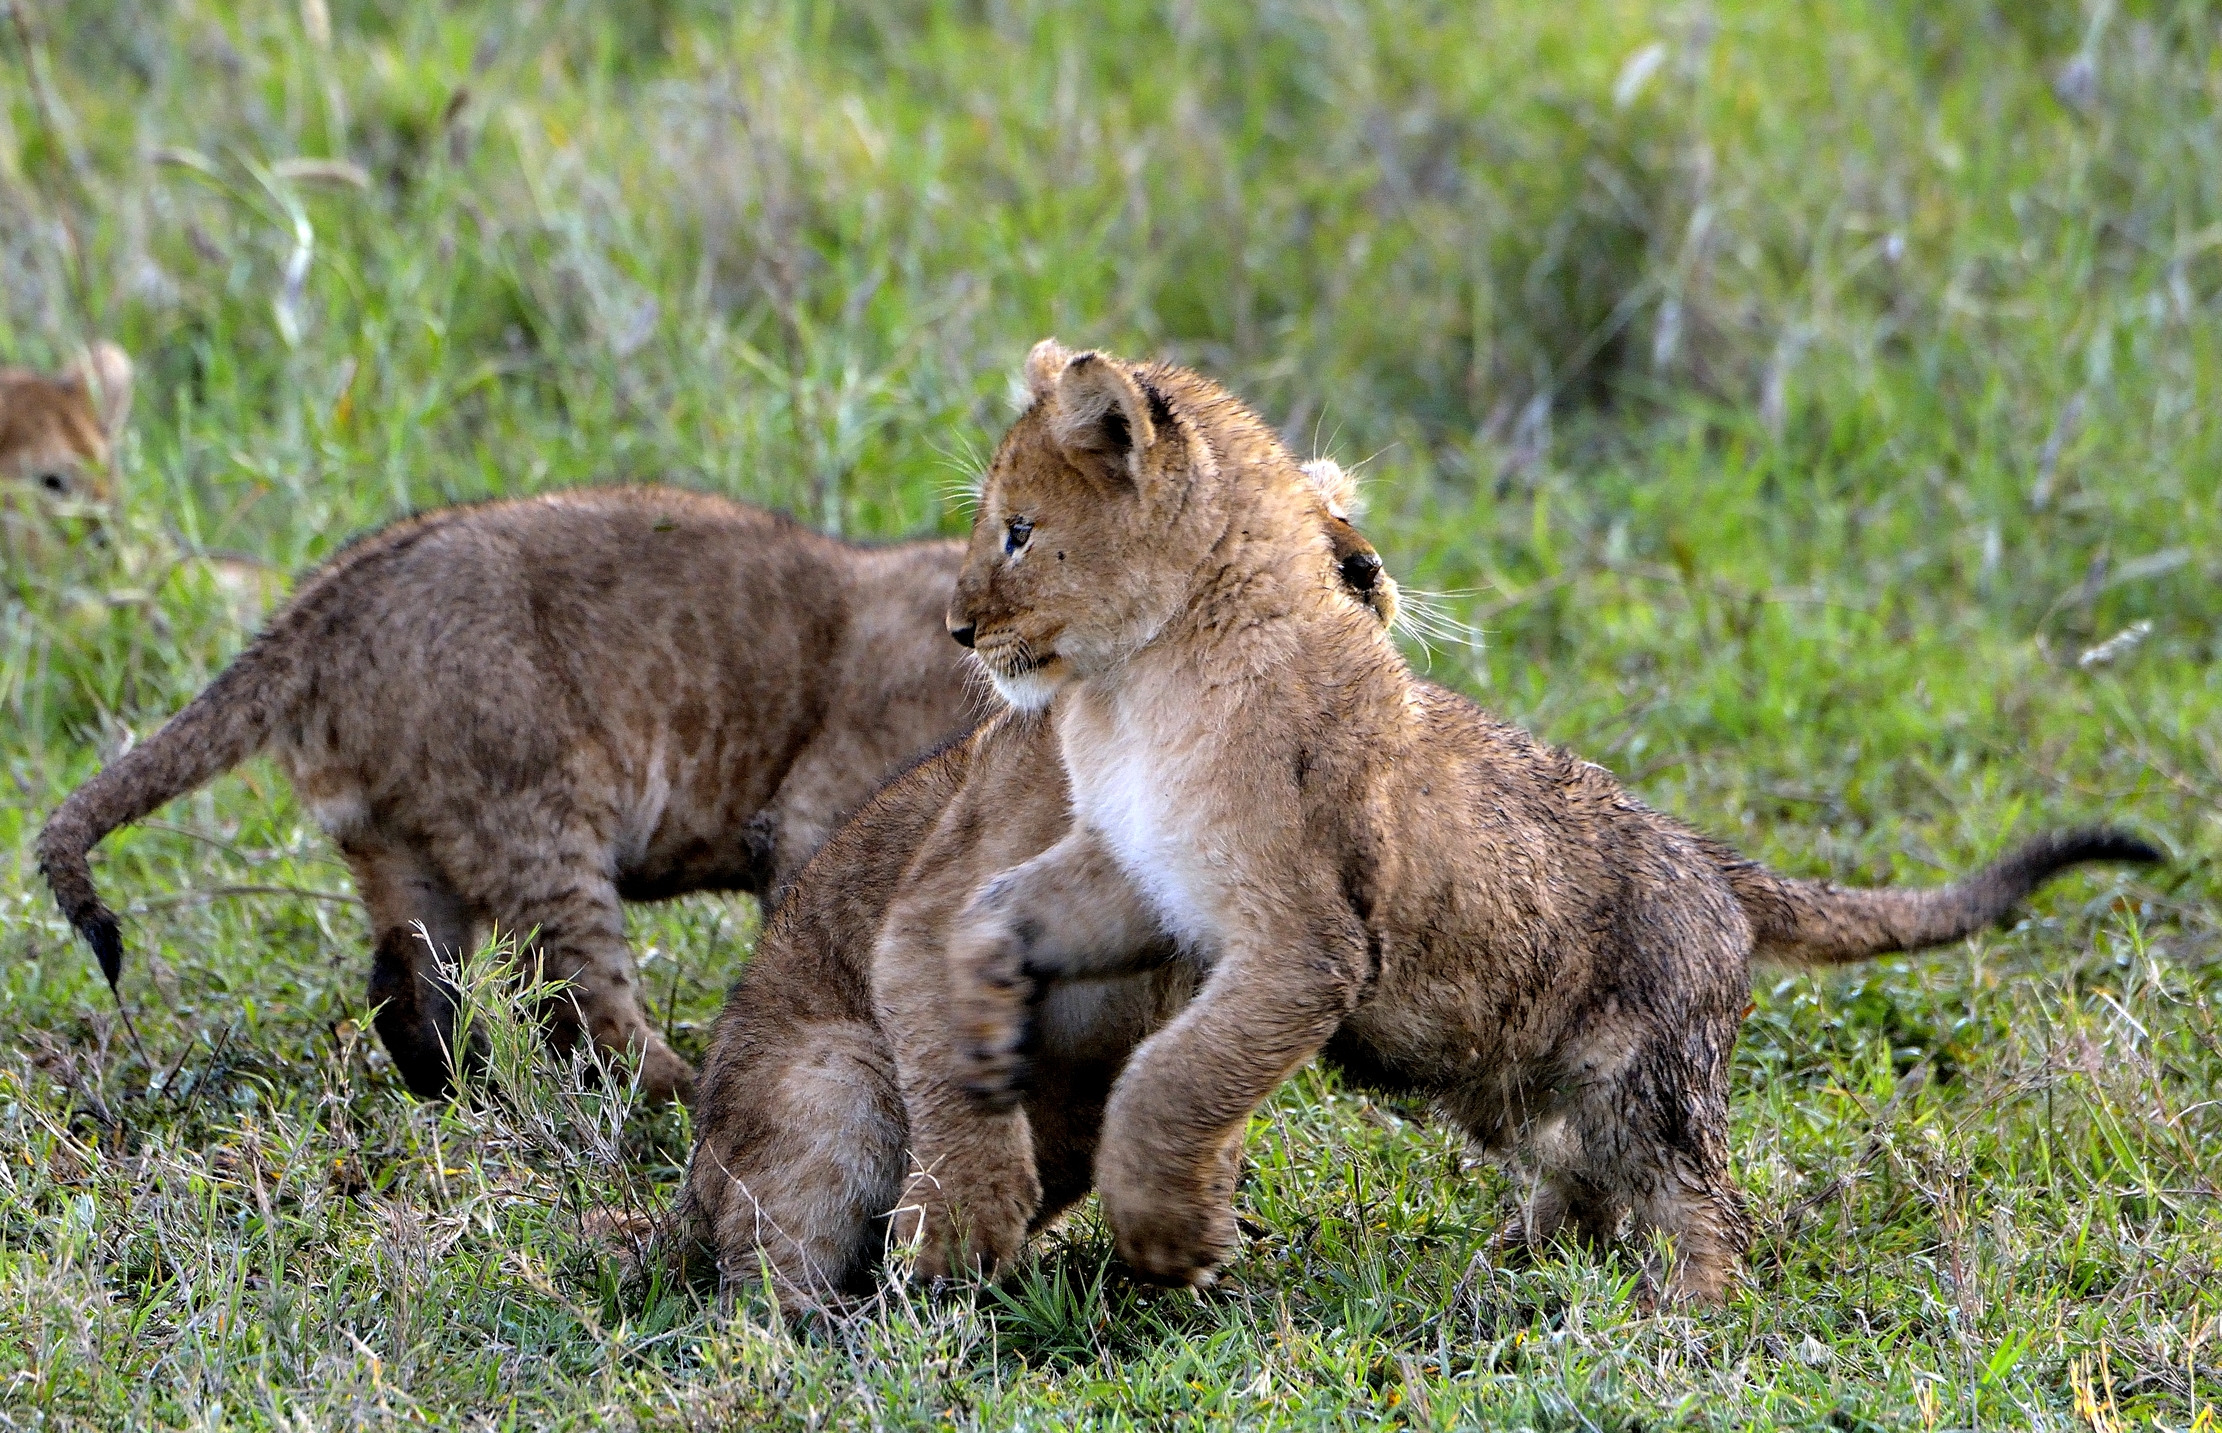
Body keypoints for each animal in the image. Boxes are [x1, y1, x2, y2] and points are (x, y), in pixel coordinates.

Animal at [39, 486, 985, 1103]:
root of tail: (321, 606)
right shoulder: (811, 814)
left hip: (402, 842)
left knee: (404, 979)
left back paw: (465, 1090)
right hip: (539, 814)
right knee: (588, 1003)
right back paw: (669, 1093)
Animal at [679, 459, 1395, 1308]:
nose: (1365, 571)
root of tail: (690, 1191)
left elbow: (1206, 1081)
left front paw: (1193, 1246)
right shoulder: (939, 903)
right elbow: (953, 1072)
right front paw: (964, 1225)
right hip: (835, 1073)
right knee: (760, 1276)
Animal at [932, 341, 2160, 1304]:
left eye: (1018, 531)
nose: (956, 629)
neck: (1132, 684)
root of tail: (1714, 862)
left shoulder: (1307, 942)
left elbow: (1175, 1073)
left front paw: (1167, 1234)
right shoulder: (1132, 868)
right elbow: (993, 909)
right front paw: (982, 1036)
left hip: (1644, 1086)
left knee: (1701, 1210)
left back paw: (1678, 1318)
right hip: (1528, 1089)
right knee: (1580, 1187)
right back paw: (1507, 1267)